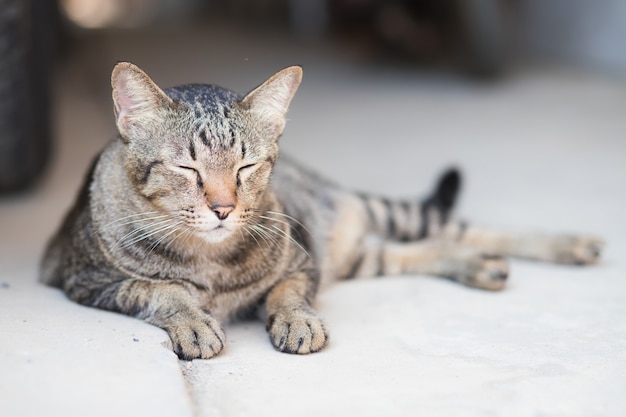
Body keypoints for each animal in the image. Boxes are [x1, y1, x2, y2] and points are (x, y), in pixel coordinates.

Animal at [37, 61, 600, 358]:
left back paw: (570, 244)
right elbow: (161, 289)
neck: (209, 258)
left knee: (458, 229)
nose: (223, 208)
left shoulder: (304, 263)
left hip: (353, 234)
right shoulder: (85, 280)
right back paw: (481, 267)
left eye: (245, 167)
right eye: (188, 168)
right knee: (420, 249)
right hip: (359, 259)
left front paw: (296, 321)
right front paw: (193, 321)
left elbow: (287, 293)